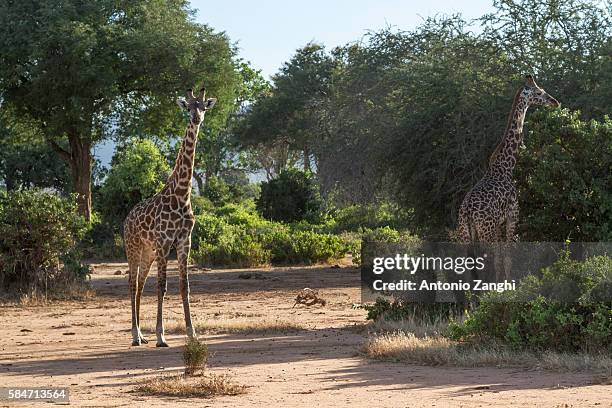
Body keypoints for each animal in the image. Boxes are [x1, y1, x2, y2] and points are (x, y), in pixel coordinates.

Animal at [123, 87, 216, 346]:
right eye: (188, 107)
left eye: (203, 106)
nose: (196, 118)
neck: (182, 194)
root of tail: (126, 219)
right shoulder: (165, 243)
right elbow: (162, 286)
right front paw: (161, 335)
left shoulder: (185, 241)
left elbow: (184, 287)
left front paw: (192, 333)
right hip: (133, 248)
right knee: (132, 283)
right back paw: (135, 335)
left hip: (148, 253)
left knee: (140, 285)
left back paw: (141, 335)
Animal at [454, 75, 560, 244]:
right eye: (539, 92)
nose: (555, 102)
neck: (506, 166)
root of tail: (468, 211)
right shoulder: (513, 215)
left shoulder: (499, 223)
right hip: (486, 231)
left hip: (465, 233)